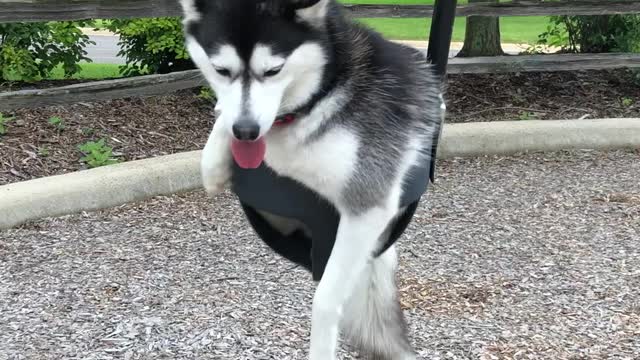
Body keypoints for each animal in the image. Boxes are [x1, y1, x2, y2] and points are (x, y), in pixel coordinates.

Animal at [176, 0, 444, 358]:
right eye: (221, 70)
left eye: (273, 71)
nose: (246, 131)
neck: (319, 95)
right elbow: (223, 111)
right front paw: (213, 163)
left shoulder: (367, 205)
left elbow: (326, 300)